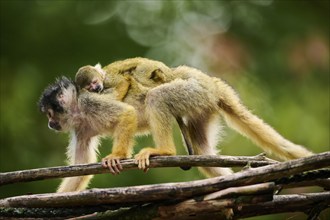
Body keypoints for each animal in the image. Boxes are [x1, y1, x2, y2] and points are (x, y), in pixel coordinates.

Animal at [75, 56, 314, 177]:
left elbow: (123, 84)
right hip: (202, 104)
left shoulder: (111, 80)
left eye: (94, 84)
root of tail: (213, 85)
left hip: (194, 91)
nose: (95, 88)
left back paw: (165, 150)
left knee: (157, 95)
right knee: (202, 150)